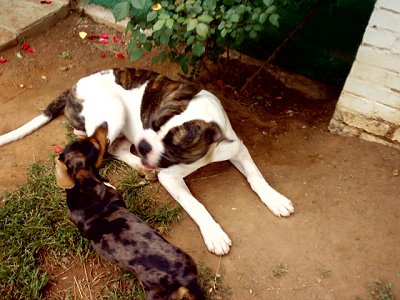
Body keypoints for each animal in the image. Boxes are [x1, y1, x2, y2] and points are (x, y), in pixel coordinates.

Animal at [0, 67, 294, 253]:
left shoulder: (237, 148)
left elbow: (256, 175)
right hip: (113, 112)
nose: (143, 145)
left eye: (173, 144)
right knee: (103, 145)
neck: (206, 151)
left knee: (116, 147)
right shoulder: (171, 177)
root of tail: (75, 86)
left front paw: (275, 198)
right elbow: (196, 205)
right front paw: (214, 233)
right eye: (151, 123)